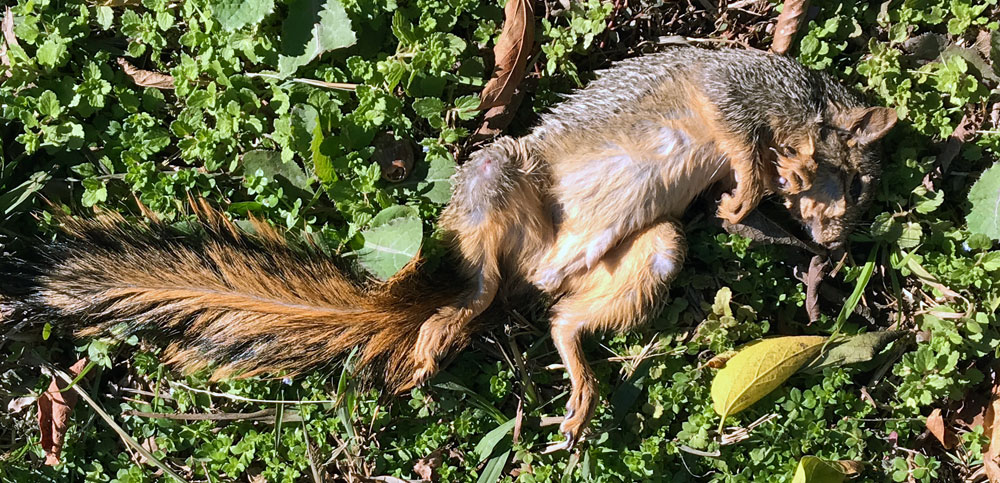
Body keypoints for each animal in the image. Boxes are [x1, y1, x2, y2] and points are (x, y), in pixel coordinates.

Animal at [0, 46, 896, 451]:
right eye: (856, 182)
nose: (833, 243)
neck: (795, 105)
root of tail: (543, 265)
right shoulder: (730, 93)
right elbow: (741, 147)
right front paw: (763, 189)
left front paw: (769, 216)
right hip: (497, 190)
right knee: (479, 287)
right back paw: (445, 327)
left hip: (654, 247)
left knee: (563, 319)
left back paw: (576, 384)